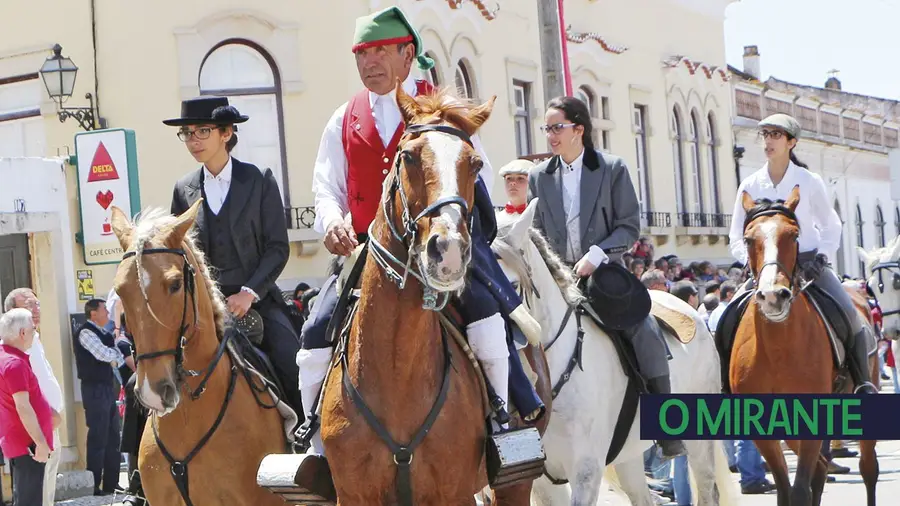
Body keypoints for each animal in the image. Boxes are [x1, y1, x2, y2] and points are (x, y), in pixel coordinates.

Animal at [320, 85, 552, 504]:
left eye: (475, 164)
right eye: (409, 156)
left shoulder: (452, 492)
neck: (396, 372)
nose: (448, 251)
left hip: (516, 481)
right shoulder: (354, 494)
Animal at [492, 202, 740, 506]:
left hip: (699, 441)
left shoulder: (586, 470)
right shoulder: (541, 482)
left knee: (707, 491)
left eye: (512, 285)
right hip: (629, 456)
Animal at [736, 186, 876, 506]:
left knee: (868, 468)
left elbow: (799, 491)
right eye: (748, 239)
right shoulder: (764, 429)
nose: (773, 295)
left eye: (794, 235)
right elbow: (786, 490)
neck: (776, 348)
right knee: (821, 469)